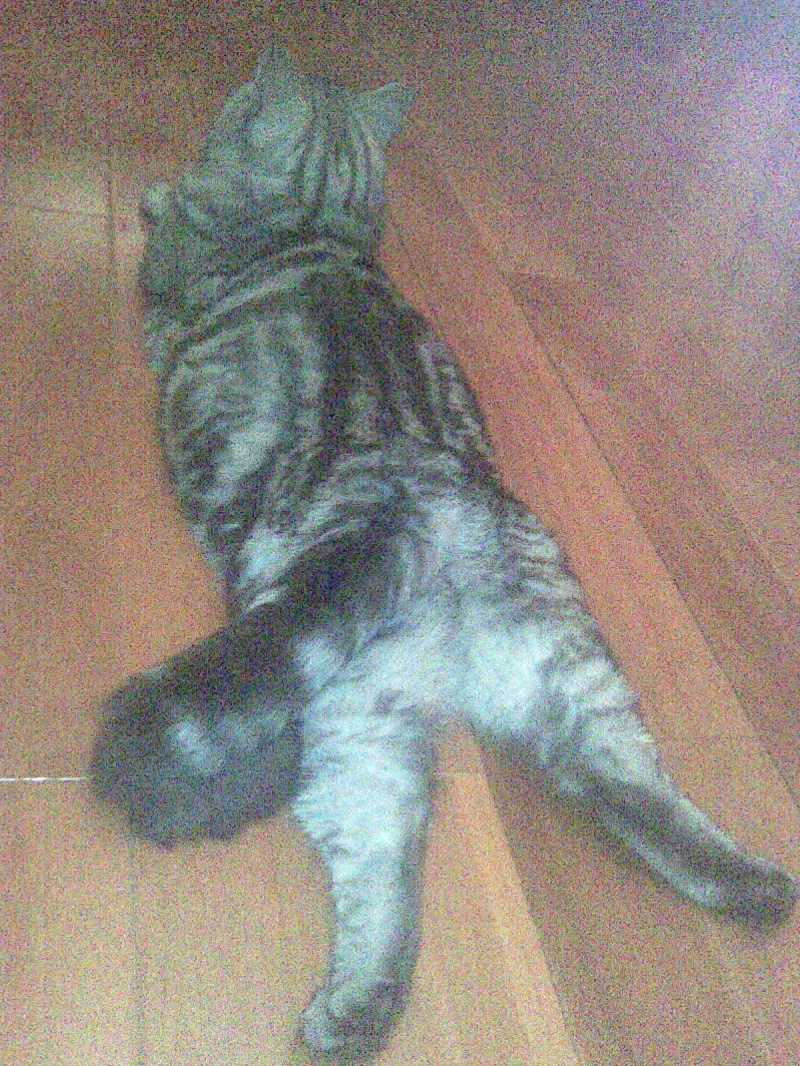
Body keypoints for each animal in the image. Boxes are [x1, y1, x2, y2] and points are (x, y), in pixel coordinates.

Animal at [90, 40, 798, 1060]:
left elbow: (166, 218)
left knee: (388, 852)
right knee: (587, 793)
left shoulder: (167, 276)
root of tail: (420, 507)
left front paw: (160, 194)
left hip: (343, 696)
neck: (316, 218)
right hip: (540, 675)